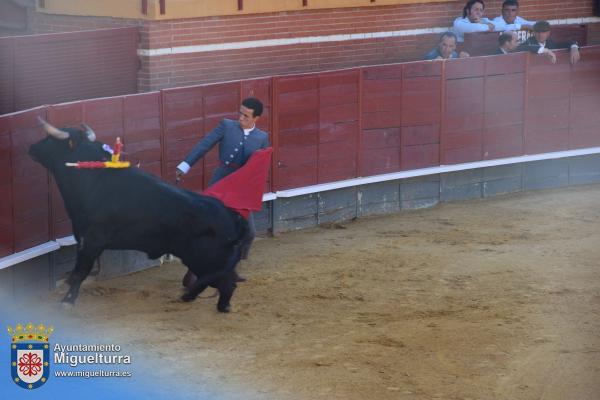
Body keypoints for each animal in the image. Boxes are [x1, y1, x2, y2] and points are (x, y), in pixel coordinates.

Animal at [27, 122, 248, 312]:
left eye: (50, 139)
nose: (31, 148)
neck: (93, 179)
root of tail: (233, 217)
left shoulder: (91, 240)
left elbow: (80, 271)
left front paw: (67, 301)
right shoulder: (84, 237)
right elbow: (78, 271)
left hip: (204, 259)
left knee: (222, 282)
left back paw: (211, 303)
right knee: (220, 282)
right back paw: (196, 299)